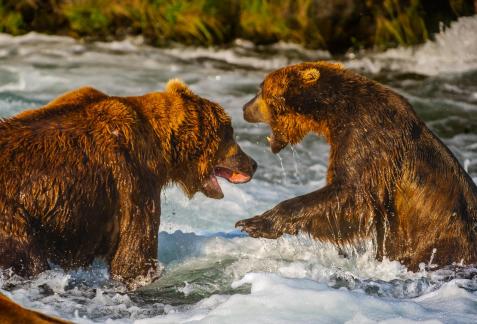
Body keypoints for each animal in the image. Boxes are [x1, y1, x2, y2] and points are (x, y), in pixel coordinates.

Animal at [0, 79, 256, 288]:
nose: (252, 164)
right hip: (13, 220)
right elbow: (133, 257)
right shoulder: (133, 180)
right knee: (28, 261)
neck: (160, 149)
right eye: (229, 134)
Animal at [236, 61, 476, 270]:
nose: (244, 108)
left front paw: (254, 223)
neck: (335, 112)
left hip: (443, 243)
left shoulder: (369, 138)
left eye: (260, 89)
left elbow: (351, 194)